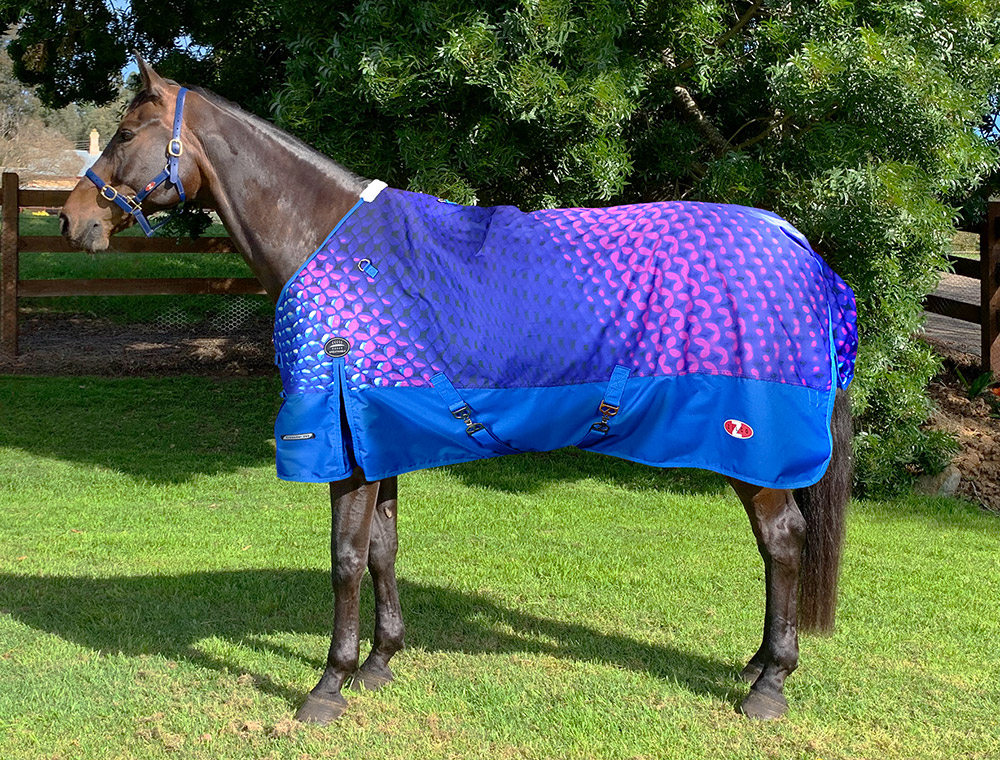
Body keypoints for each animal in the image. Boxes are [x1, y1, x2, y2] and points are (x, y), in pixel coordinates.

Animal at [59, 56, 853, 725]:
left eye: (127, 132)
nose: (72, 219)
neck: (328, 242)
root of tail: (796, 244)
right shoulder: (377, 436)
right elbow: (383, 549)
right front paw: (379, 663)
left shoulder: (342, 445)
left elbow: (344, 559)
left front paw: (328, 685)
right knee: (775, 547)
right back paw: (755, 664)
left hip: (749, 445)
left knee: (782, 541)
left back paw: (770, 685)